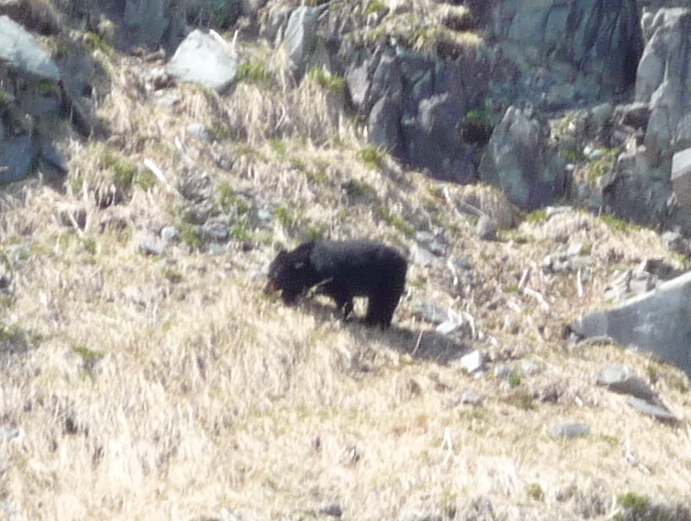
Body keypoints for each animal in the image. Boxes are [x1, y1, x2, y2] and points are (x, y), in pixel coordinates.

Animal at [264, 239, 407, 328]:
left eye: (276, 276)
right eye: (269, 274)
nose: (265, 290)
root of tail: (404, 261)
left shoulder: (338, 281)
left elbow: (345, 299)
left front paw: (346, 316)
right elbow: (297, 288)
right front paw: (287, 298)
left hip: (389, 283)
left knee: (386, 304)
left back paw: (378, 323)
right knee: (376, 304)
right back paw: (370, 321)